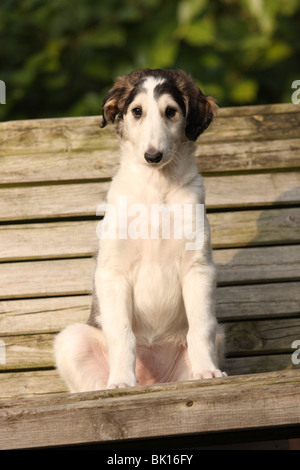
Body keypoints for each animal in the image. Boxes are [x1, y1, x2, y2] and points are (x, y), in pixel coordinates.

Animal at [54, 69, 225, 392]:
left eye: (171, 111)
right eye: (137, 111)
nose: (153, 156)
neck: (156, 188)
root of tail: (152, 382)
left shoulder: (198, 267)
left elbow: (200, 326)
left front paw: (207, 372)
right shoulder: (113, 272)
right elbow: (123, 333)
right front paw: (122, 380)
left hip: (216, 337)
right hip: (72, 341)